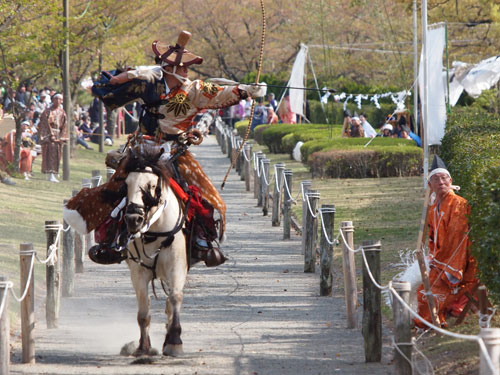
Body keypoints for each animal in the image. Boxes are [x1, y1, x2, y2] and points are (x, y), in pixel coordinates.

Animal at [122, 148, 188, 358]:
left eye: (151, 185)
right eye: (126, 184)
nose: (133, 219)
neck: (155, 231)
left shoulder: (176, 266)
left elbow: (175, 297)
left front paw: (174, 342)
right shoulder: (138, 271)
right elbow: (144, 311)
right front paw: (143, 348)